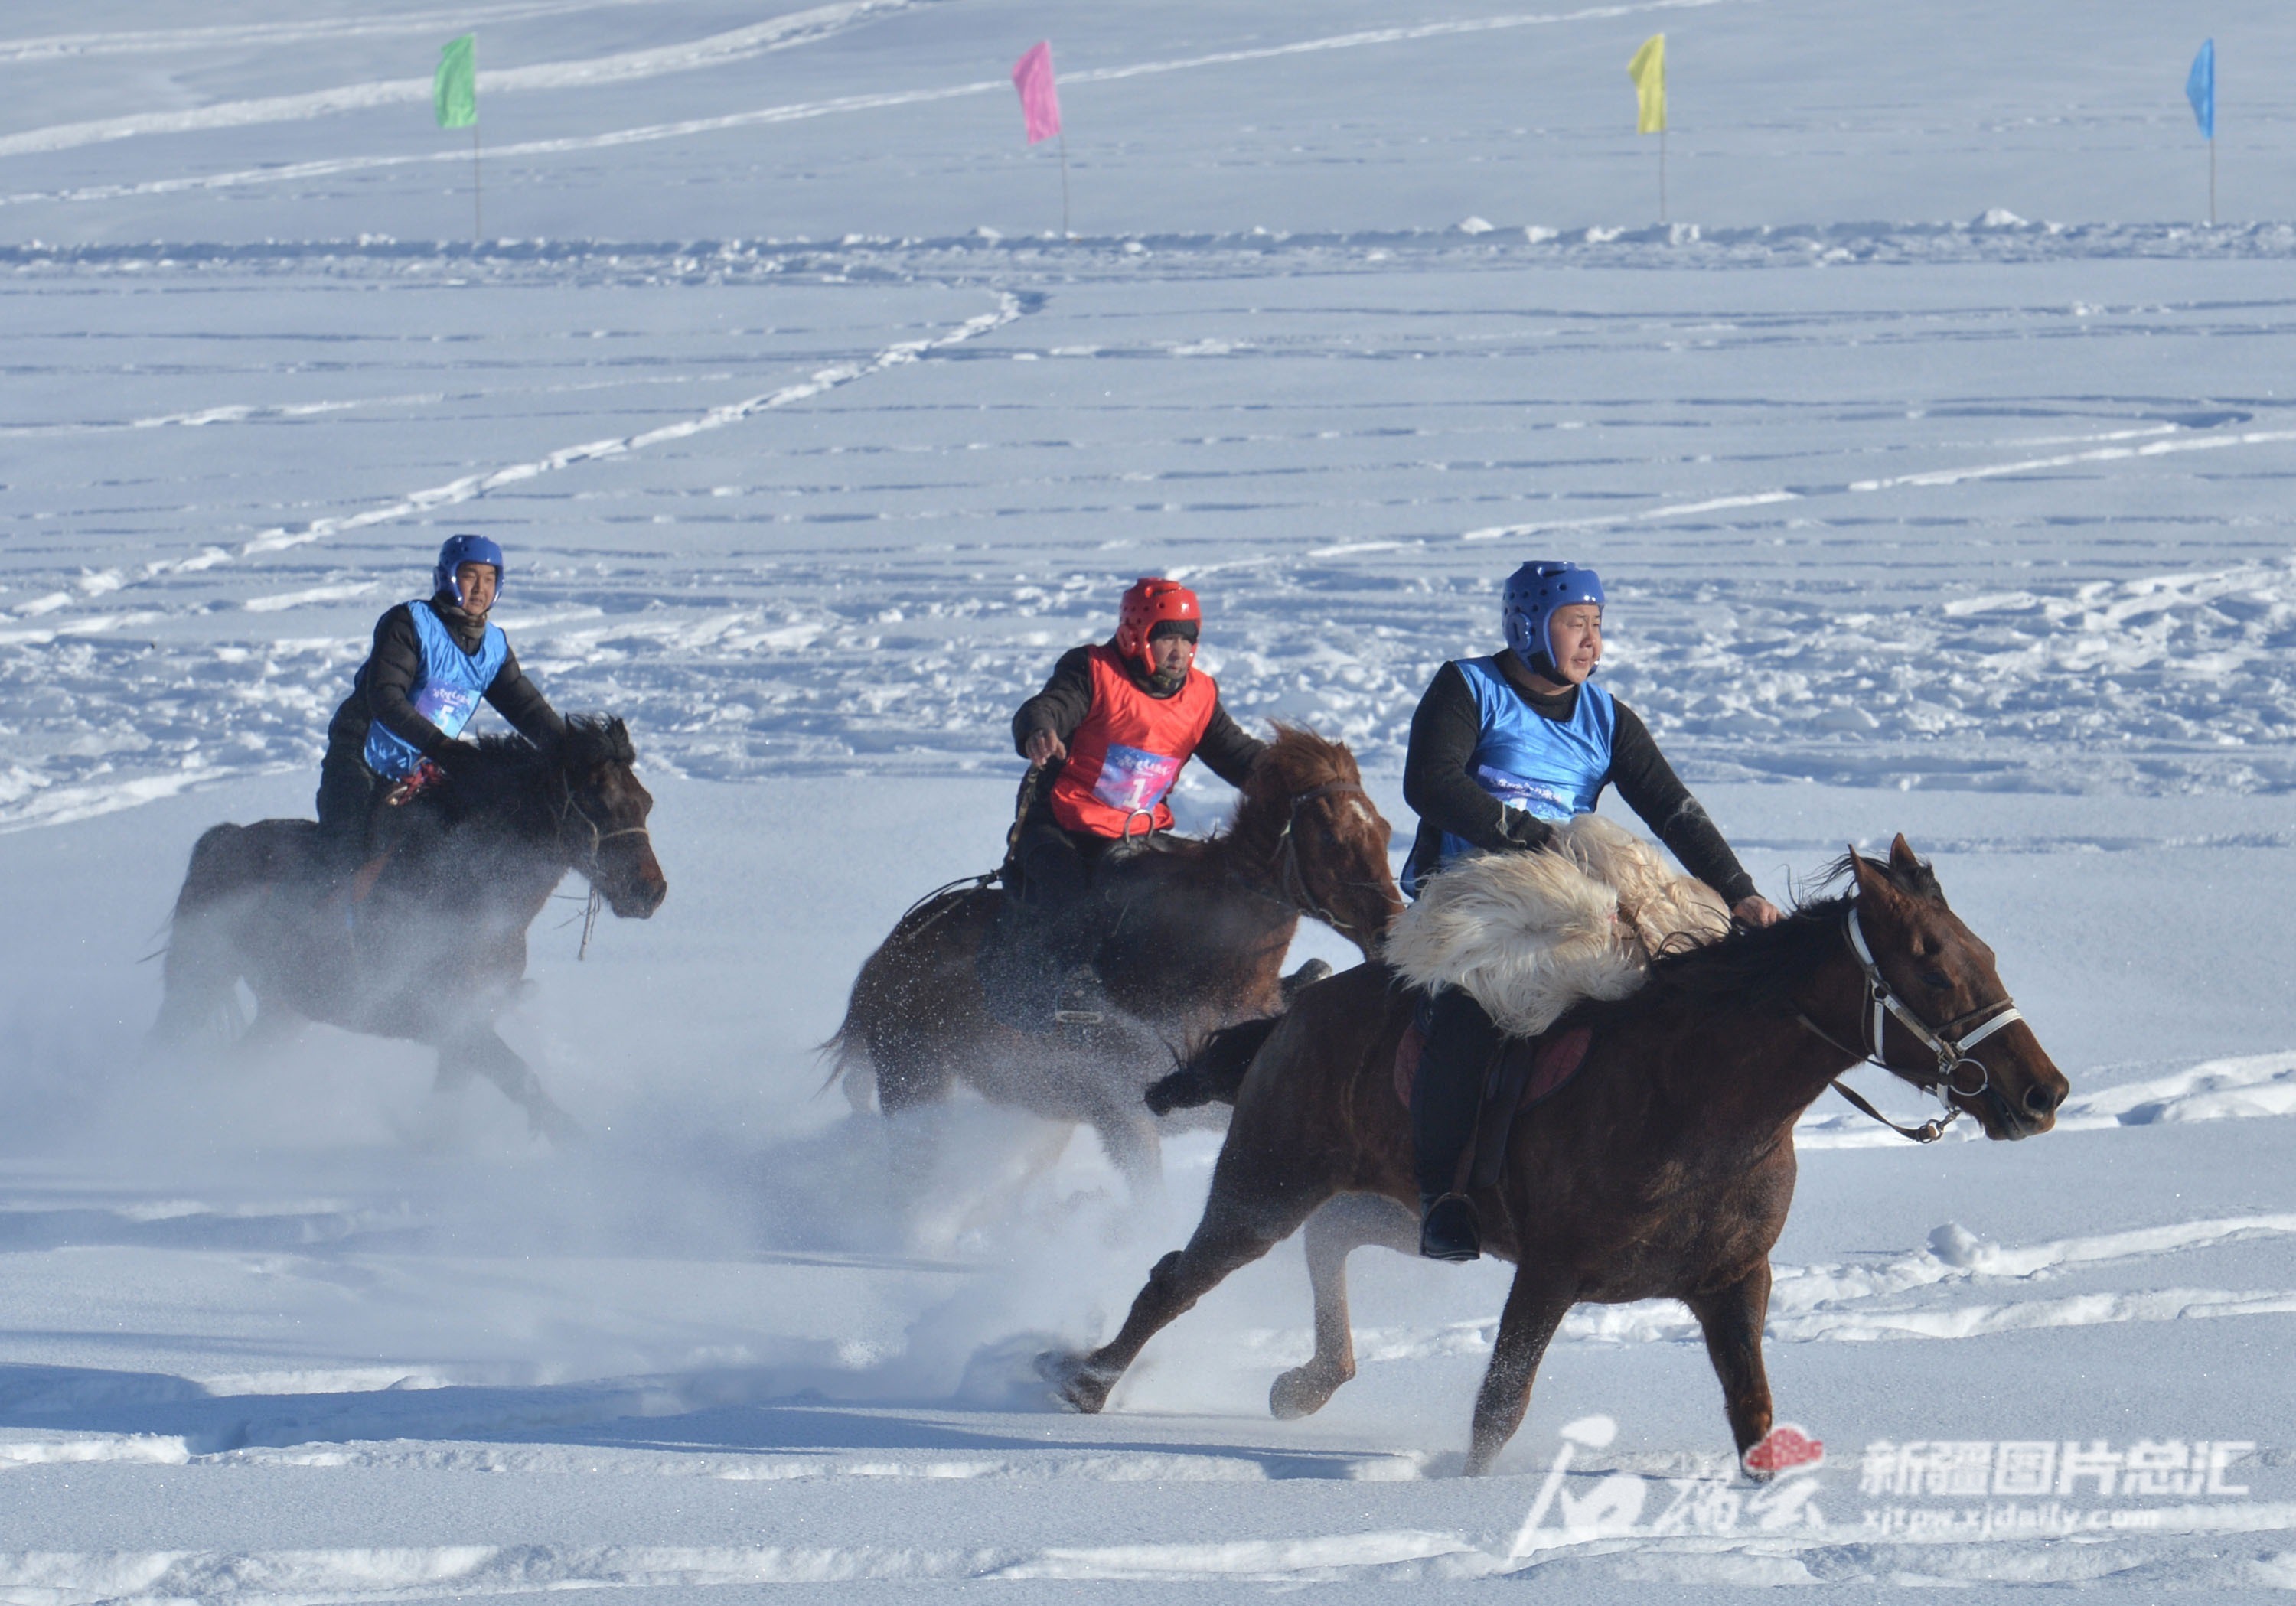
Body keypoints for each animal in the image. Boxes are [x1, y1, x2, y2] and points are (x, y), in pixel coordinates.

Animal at [154, 715, 666, 1142]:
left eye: (646, 803)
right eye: (597, 799)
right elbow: (522, 1080)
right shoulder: (450, 1022)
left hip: (283, 1010)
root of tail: (221, 841)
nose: (651, 892)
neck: (474, 894)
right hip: (198, 980)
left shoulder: (468, 1025)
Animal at [827, 729, 1396, 1193]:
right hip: (917, 1083)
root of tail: (884, 961)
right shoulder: (1125, 1113)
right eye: (1330, 836)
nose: (1390, 929)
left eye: (1388, 830)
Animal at [1033, 839, 2076, 1477]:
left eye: (1983, 951)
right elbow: (1499, 1406)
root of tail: (1296, 1010)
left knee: (1331, 1238)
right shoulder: (1549, 1269)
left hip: (1400, 1204)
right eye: (1935, 963)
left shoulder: (1734, 1279)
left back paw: (1308, 1382)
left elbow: (1753, 1411)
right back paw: (1083, 1379)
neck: (1703, 1097)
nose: (2043, 1093)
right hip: (1269, 1179)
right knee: (1179, 1275)